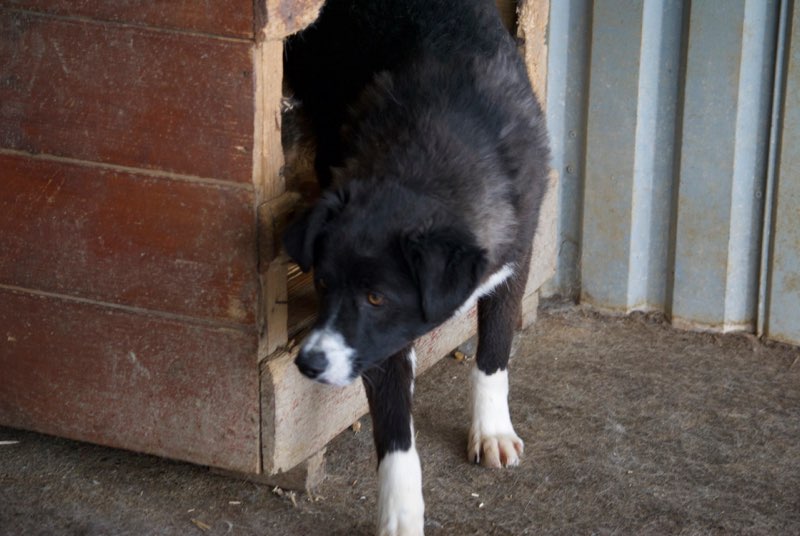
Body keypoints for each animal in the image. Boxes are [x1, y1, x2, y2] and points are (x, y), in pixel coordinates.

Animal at [282, 2, 552, 532]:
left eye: (375, 297)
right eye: (322, 283)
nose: (308, 363)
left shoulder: (516, 260)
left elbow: (494, 351)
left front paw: (491, 429)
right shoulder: (386, 339)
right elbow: (394, 435)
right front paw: (401, 515)